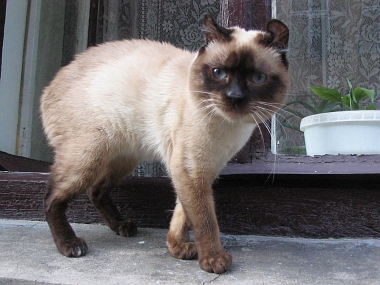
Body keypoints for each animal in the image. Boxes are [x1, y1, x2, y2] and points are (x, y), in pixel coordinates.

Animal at [40, 13, 288, 272]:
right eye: (219, 73)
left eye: (257, 78)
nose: (235, 97)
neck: (227, 128)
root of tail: (49, 86)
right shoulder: (190, 170)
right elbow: (204, 219)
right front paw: (213, 259)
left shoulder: (203, 171)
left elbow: (182, 213)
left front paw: (178, 248)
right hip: (88, 156)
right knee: (50, 198)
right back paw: (70, 245)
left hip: (123, 160)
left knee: (95, 190)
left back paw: (122, 226)